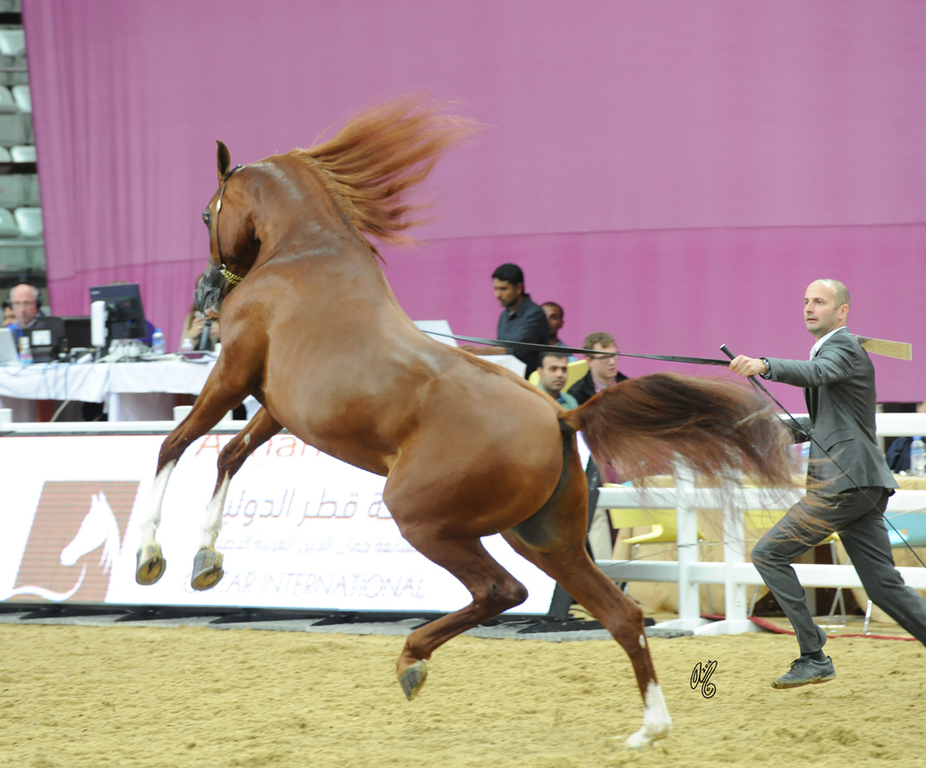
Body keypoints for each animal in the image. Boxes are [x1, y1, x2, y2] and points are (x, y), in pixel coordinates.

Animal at [133, 95, 795, 748]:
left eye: (205, 213)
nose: (206, 294)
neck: (305, 256)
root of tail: (563, 414)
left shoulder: (233, 374)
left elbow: (174, 445)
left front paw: (150, 556)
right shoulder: (273, 406)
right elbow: (228, 454)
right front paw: (205, 561)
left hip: (426, 519)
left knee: (504, 591)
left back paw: (413, 660)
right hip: (544, 537)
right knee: (621, 614)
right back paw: (648, 729)